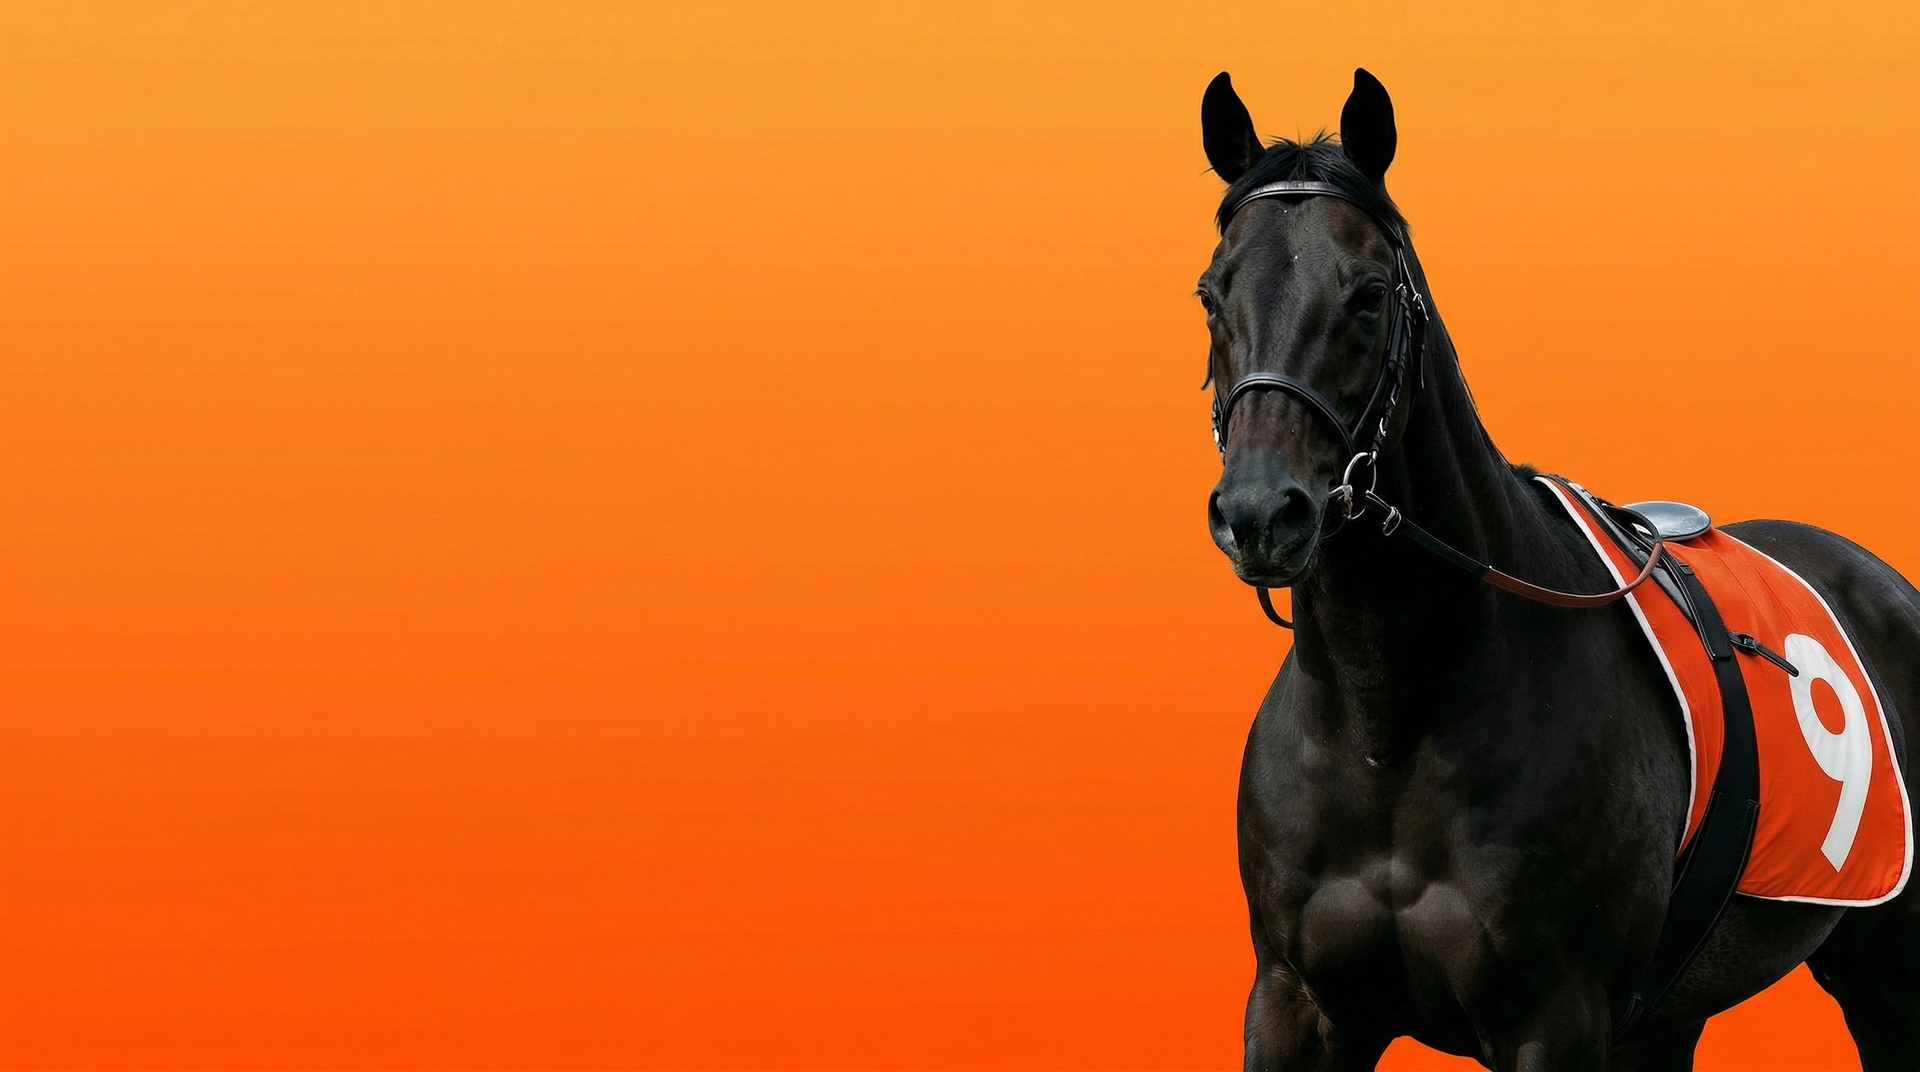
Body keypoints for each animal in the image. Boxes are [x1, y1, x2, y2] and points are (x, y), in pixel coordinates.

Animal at [1195, 68, 1920, 1071]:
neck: (1392, 725)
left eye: (1370, 293)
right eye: (1211, 293)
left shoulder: (1554, 1018)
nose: (1263, 512)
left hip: (1891, 967)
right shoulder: (1296, 1005)